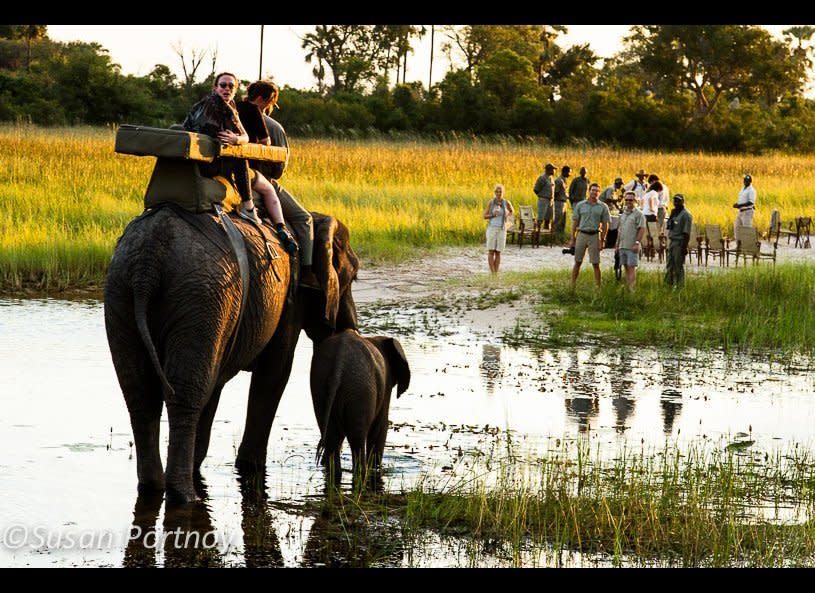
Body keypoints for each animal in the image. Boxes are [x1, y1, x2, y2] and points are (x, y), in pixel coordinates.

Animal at [103, 206, 358, 502]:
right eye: (353, 277)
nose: (348, 327)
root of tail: (148, 262)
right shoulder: (291, 303)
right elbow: (276, 372)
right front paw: (250, 468)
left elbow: (215, 384)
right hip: (200, 296)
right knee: (184, 394)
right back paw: (186, 496)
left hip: (124, 293)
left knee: (141, 393)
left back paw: (154, 487)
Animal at [312, 326, 414, 484]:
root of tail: (339, 361)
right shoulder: (386, 385)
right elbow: (381, 427)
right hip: (361, 389)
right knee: (357, 439)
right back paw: (361, 474)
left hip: (320, 385)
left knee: (331, 437)